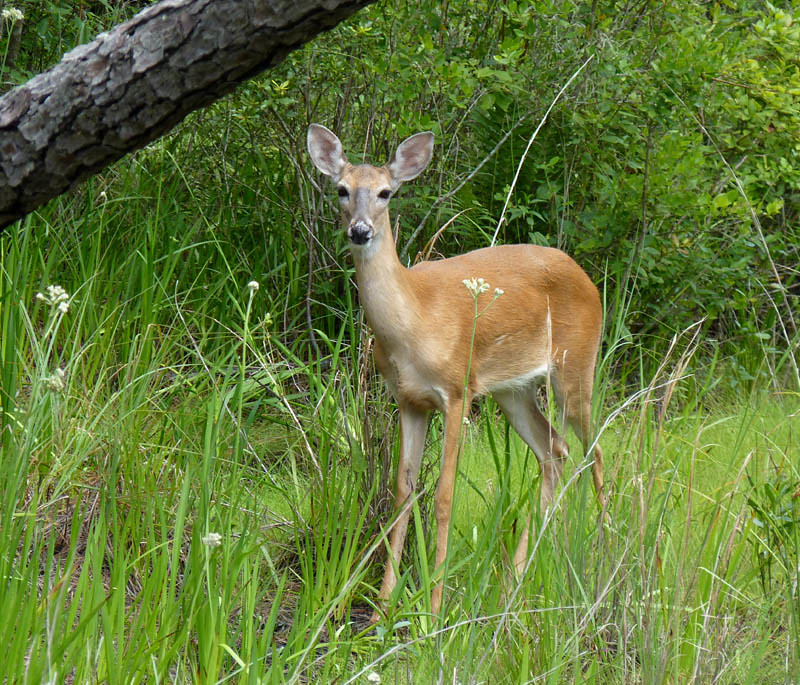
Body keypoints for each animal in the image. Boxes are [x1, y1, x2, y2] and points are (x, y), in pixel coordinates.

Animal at [307, 123, 606, 621]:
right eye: (341, 190)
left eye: (387, 192)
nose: (360, 231)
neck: (412, 322)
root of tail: (587, 278)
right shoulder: (408, 400)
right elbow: (402, 493)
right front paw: (382, 608)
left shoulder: (456, 390)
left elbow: (444, 496)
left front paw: (434, 606)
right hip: (513, 390)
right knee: (555, 450)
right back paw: (512, 585)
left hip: (576, 365)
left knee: (596, 448)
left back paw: (609, 553)